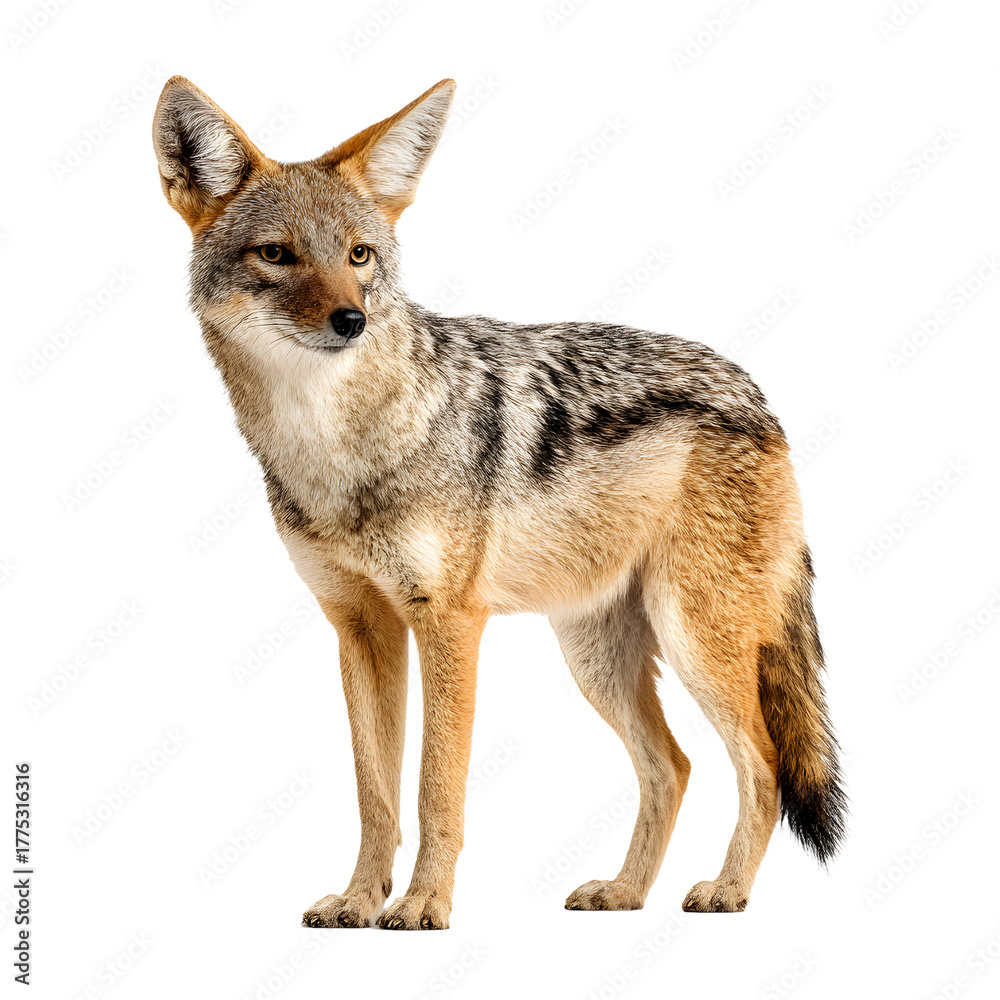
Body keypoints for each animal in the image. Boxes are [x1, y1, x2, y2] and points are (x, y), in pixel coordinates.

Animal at [152, 76, 846, 929]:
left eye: (358, 256)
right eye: (276, 254)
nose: (351, 320)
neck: (335, 453)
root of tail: (755, 393)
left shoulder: (449, 622)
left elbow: (435, 789)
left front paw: (422, 905)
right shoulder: (359, 627)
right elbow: (375, 796)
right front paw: (359, 900)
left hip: (694, 641)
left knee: (764, 765)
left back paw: (727, 891)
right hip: (596, 657)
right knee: (674, 766)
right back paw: (625, 892)